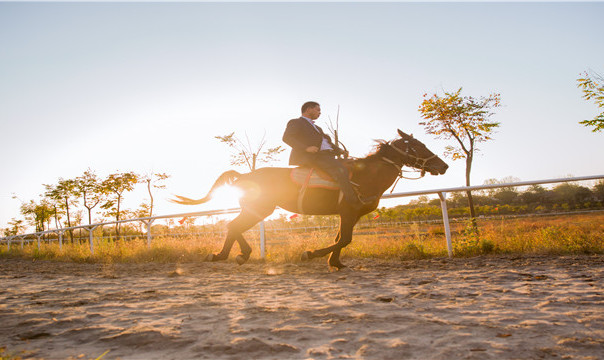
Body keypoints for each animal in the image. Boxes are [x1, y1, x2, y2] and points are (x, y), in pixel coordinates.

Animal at [172, 131, 446, 268]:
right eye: (419, 146)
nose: (443, 166)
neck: (366, 175)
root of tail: (244, 175)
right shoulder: (348, 211)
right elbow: (344, 239)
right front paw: (312, 254)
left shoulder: (353, 215)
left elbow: (340, 238)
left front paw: (336, 262)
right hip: (260, 209)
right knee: (234, 226)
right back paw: (238, 254)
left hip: (257, 209)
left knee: (232, 227)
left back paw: (226, 255)